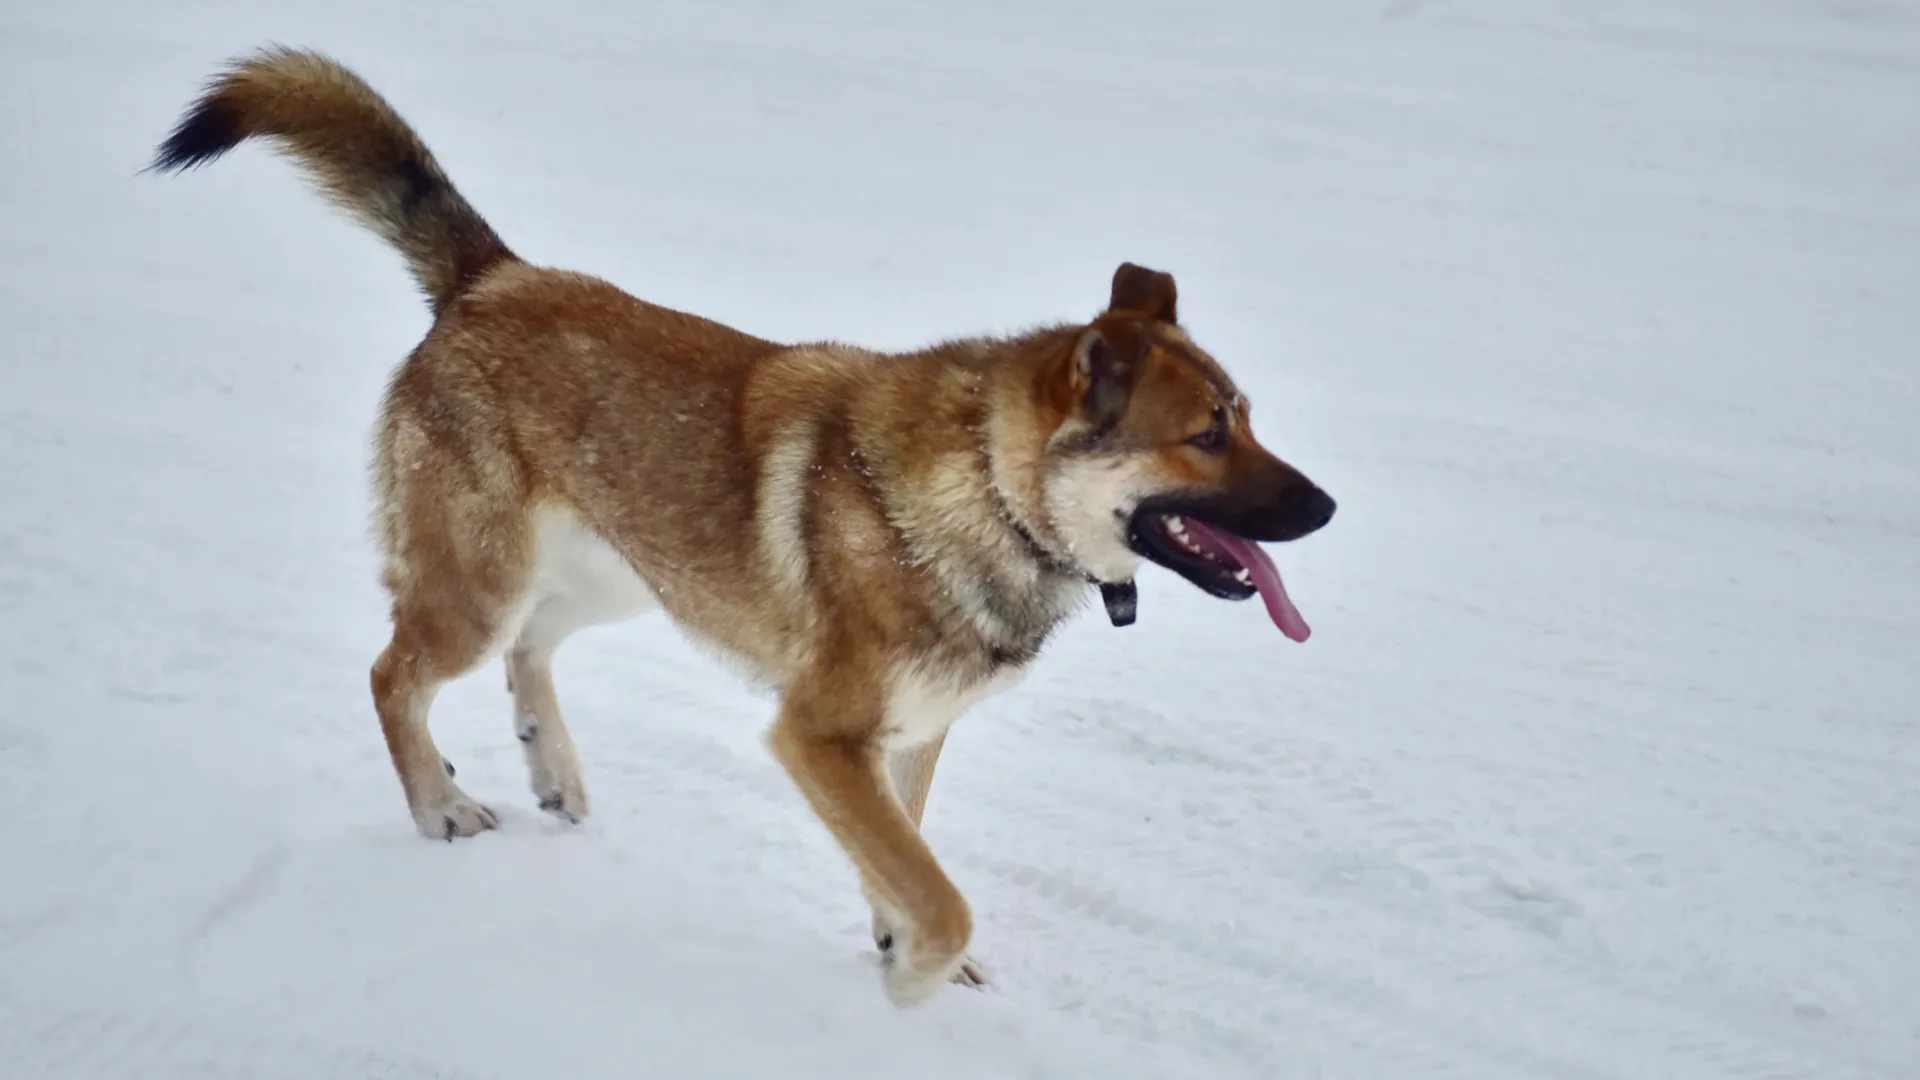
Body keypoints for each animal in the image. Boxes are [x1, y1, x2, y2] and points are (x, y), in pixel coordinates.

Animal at [153, 46, 1336, 1006]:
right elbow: (941, 894)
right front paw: (914, 978)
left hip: (619, 573)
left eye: (1245, 417)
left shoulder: (907, 737)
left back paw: (554, 774)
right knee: (394, 674)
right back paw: (441, 808)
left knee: (530, 654)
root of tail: (492, 277)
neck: (992, 495)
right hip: (480, 589)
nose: (1327, 508)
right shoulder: (818, 734)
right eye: (1209, 434)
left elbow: (907, 858)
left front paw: (899, 948)